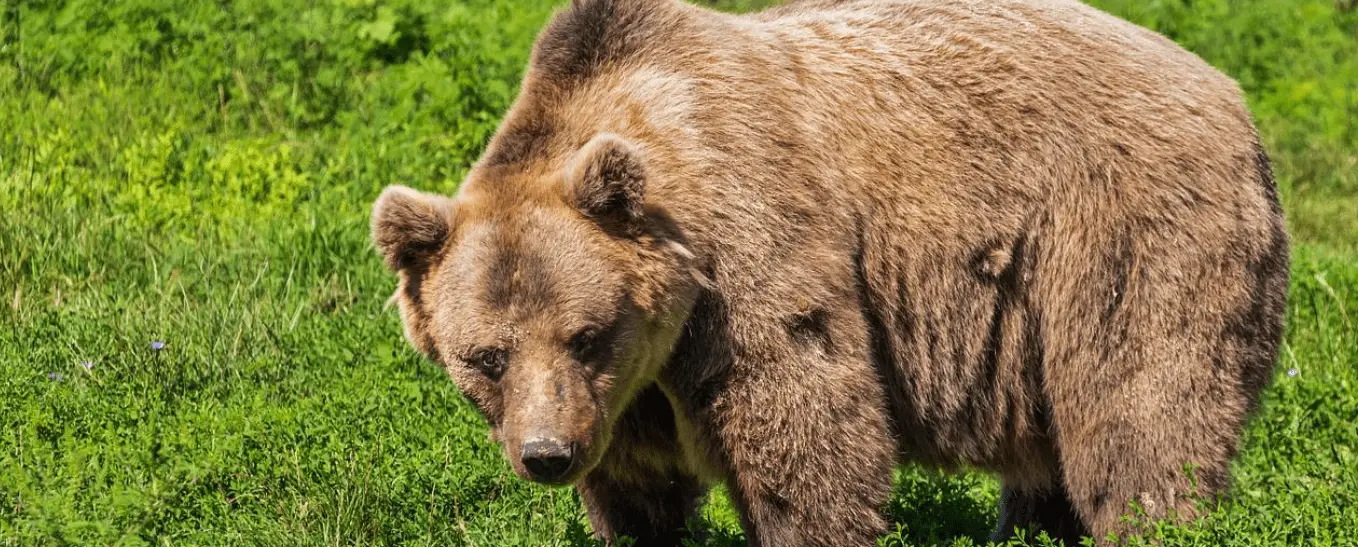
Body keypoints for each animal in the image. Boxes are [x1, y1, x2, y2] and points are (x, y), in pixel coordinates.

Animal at [366, 1, 1287, 542]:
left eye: (585, 333)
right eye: (484, 356)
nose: (548, 454)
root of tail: (1233, 97)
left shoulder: (748, 255)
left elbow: (803, 423)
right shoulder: (630, 390)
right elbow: (639, 486)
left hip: (1120, 235)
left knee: (1140, 415)